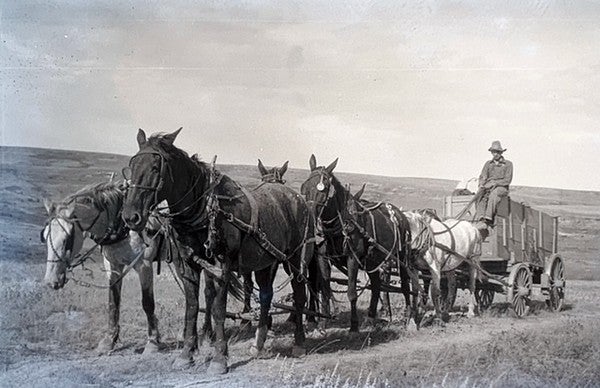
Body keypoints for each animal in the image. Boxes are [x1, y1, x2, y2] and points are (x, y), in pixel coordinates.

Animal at [41, 182, 169, 354]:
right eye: (44, 236)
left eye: (67, 239)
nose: (51, 281)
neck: (121, 225)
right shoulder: (112, 265)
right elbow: (113, 302)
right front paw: (110, 340)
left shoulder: (144, 264)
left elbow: (148, 303)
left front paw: (153, 341)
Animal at [122, 130, 314, 372]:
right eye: (132, 165)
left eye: (156, 167)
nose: (131, 216)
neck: (204, 208)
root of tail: (298, 198)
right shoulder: (189, 265)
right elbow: (193, 307)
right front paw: (186, 354)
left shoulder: (223, 265)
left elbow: (218, 309)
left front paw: (219, 358)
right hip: (265, 260)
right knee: (266, 295)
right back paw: (259, 343)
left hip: (294, 258)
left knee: (299, 294)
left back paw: (299, 341)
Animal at [300, 155, 418, 330]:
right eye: (305, 186)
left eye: (325, 187)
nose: (310, 215)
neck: (340, 223)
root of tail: (401, 215)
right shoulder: (323, 258)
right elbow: (325, 291)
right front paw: (322, 323)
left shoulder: (352, 259)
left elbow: (351, 292)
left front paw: (354, 326)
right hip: (373, 260)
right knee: (376, 285)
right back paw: (371, 317)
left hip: (402, 256)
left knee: (405, 285)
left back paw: (410, 318)